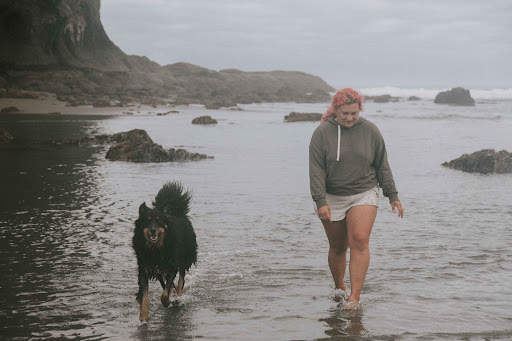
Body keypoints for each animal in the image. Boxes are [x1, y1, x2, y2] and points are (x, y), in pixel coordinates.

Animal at [133, 181, 197, 322]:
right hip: (159, 270)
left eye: (159, 220)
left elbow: (165, 294)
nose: (153, 231)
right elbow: (145, 294)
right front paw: (143, 315)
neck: (156, 249)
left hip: (183, 259)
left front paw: (169, 302)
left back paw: (178, 297)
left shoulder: (172, 267)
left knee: (180, 280)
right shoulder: (144, 269)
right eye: (147, 220)